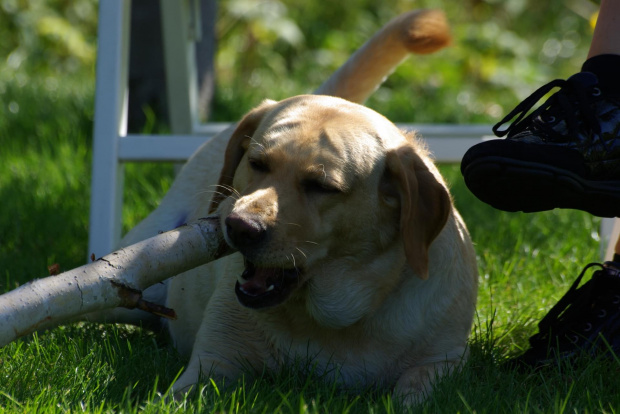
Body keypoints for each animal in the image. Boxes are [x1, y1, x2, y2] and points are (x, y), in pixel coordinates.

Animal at [111, 8, 480, 404]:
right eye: (257, 163)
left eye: (322, 186)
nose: (240, 227)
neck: (333, 319)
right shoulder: (213, 362)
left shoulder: (441, 362)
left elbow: (412, 393)